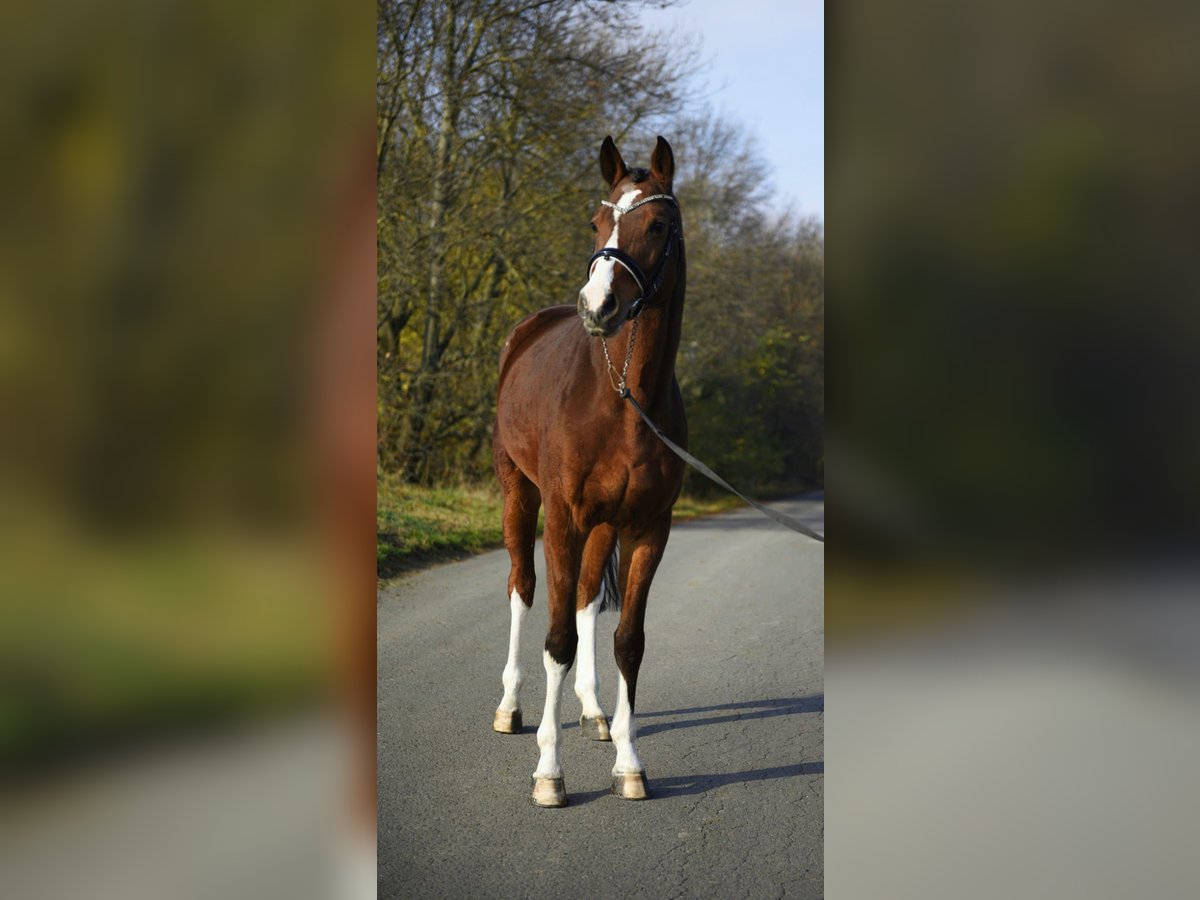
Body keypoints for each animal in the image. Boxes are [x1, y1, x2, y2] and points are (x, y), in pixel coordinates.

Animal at [491, 135, 687, 807]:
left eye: (657, 225)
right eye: (598, 223)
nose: (596, 307)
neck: (623, 399)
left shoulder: (648, 528)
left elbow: (627, 640)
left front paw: (630, 762)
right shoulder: (564, 518)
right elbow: (557, 641)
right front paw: (549, 773)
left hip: (602, 526)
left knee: (583, 600)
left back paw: (596, 712)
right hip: (520, 496)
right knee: (523, 589)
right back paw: (510, 708)